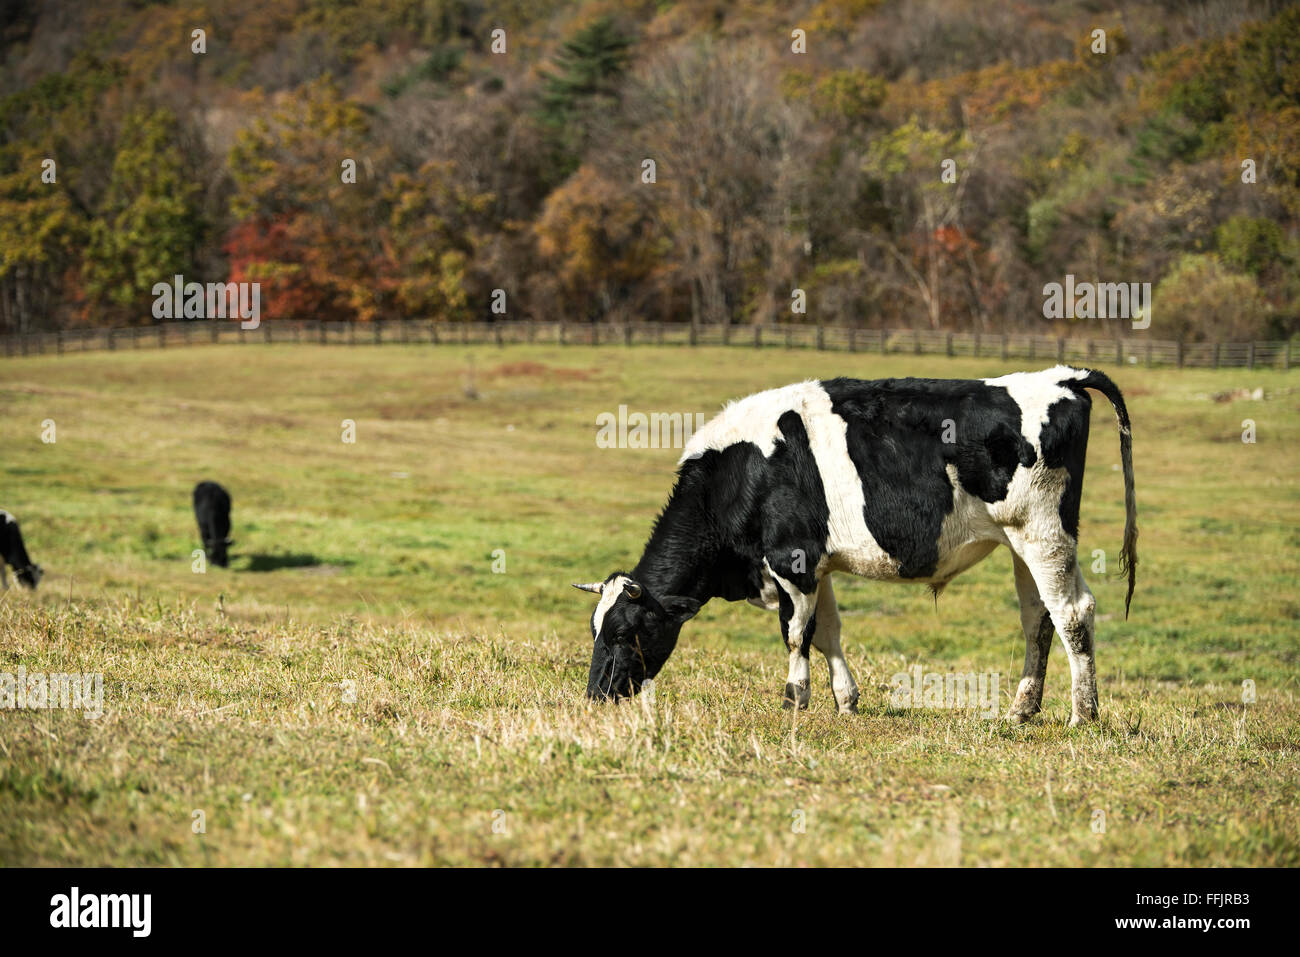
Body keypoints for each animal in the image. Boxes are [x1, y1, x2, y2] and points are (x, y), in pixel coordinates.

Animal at [574, 365, 1137, 727]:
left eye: (623, 633)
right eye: (595, 629)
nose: (595, 696)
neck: (741, 473)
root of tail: (1062, 377)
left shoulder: (791, 560)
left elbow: (796, 634)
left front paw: (794, 700)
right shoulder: (815, 566)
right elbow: (827, 632)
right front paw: (845, 701)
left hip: (1043, 532)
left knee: (1072, 613)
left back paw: (1083, 715)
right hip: (1023, 542)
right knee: (1039, 618)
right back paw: (1023, 711)